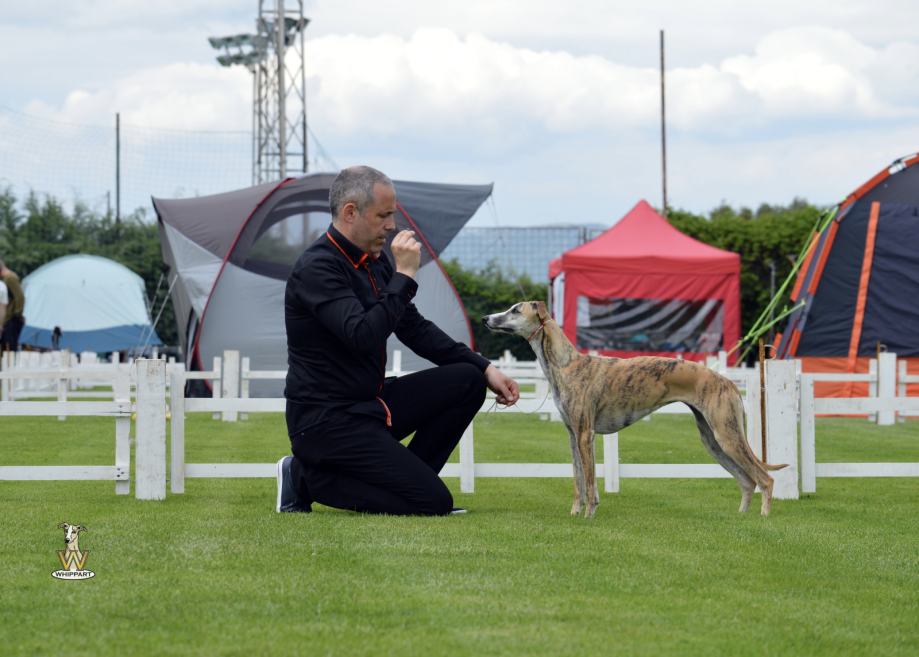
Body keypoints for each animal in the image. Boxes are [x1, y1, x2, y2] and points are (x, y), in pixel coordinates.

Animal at [483, 301, 786, 518]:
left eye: (515, 310)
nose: (486, 319)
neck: (567, 364)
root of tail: (728, 381)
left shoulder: (585, 434)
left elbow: (590, 481)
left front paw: (589, 515)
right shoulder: (572, 435)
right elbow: (578, 480)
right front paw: (574, 512)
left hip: (727, 434)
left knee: (765, 478)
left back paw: (764, 517)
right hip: (712, 440)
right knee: (747, 481)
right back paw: (741, 517)